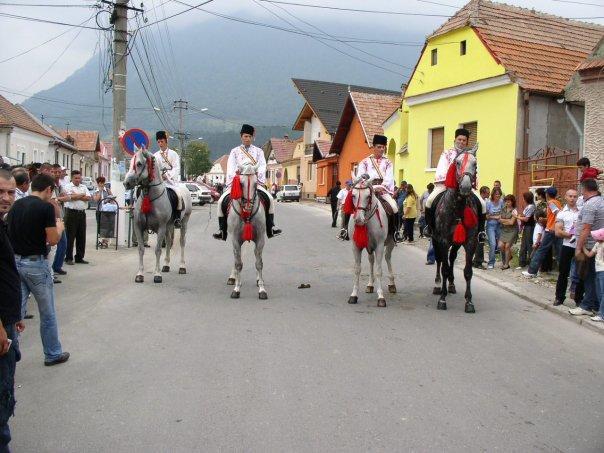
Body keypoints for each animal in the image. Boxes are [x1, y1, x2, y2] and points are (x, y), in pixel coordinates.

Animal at [121, 148, 190, 282]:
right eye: (130, 162)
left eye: (139, 163)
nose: (126, 183)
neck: (150, 197)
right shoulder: (138, 227)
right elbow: (141, 249)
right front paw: (140, 274)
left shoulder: (161, 227)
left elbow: (158, 250)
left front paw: (157, 274)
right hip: (169, 225)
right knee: (169, 241)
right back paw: (166, 265)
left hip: (183, 222)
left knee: (182, 242)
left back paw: (182, 267)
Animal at [225, 162, 268, 300]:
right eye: (241, 183)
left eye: (255, 184)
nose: (248, 206)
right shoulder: (235, 240)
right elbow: (238, 263)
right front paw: (236, 289)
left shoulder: (260, 239)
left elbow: (259, 263)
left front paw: (262, 289)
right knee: (236, 259)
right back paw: (233, 278)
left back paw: (259, 280)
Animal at [344, 173, 396, 308]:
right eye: (353, 195)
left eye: (368, 196)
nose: (358, 220)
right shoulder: (356, 246)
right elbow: (357, 269)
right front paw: (353, 295)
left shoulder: (379, 246)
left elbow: (378, 270)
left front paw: (381, 297)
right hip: (369, 247)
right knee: (371, 260)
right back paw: (370, 285)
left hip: (390, 243)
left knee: (388, 258)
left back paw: (392, 284)